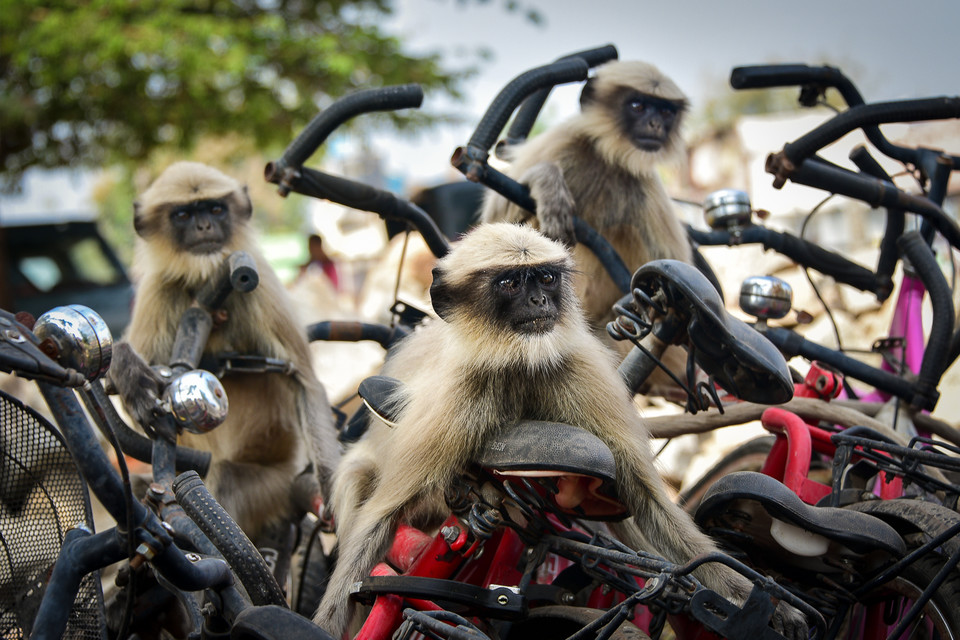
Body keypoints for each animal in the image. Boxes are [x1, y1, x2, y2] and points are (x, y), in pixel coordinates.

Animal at [111, 162, 342, 544]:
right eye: (184, 214)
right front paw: (125, 367)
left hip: (273, 488)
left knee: (226, 479)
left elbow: (304, 382)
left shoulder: (260, 282)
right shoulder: (159, 288)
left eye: (216, 209)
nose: (204, 226)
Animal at [314, 221, 804, 640]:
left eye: (546, 278)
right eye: (511, 284)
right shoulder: (460, 392)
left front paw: (760, 602)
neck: (517, 361)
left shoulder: (577, 372)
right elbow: (381, 518)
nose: (540, 303)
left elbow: (647, 500)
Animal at [484, 60, 692, 356]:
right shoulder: (562, 142)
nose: (656, 125)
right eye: (637, 106)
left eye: (665, 111)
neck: (607, 155)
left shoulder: (646, 185)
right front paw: (546, 180)